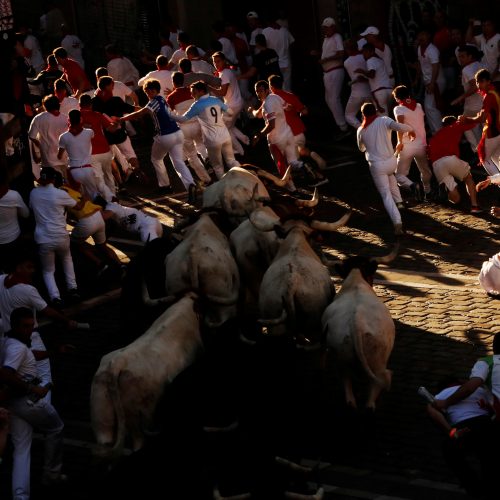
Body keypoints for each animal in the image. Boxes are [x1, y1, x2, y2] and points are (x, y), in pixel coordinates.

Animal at [322, 244, 400, 408]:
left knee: (348, 389)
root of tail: (356, 323)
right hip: (378, 362)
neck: (356, 283)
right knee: (372, 393)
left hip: (342, 359)